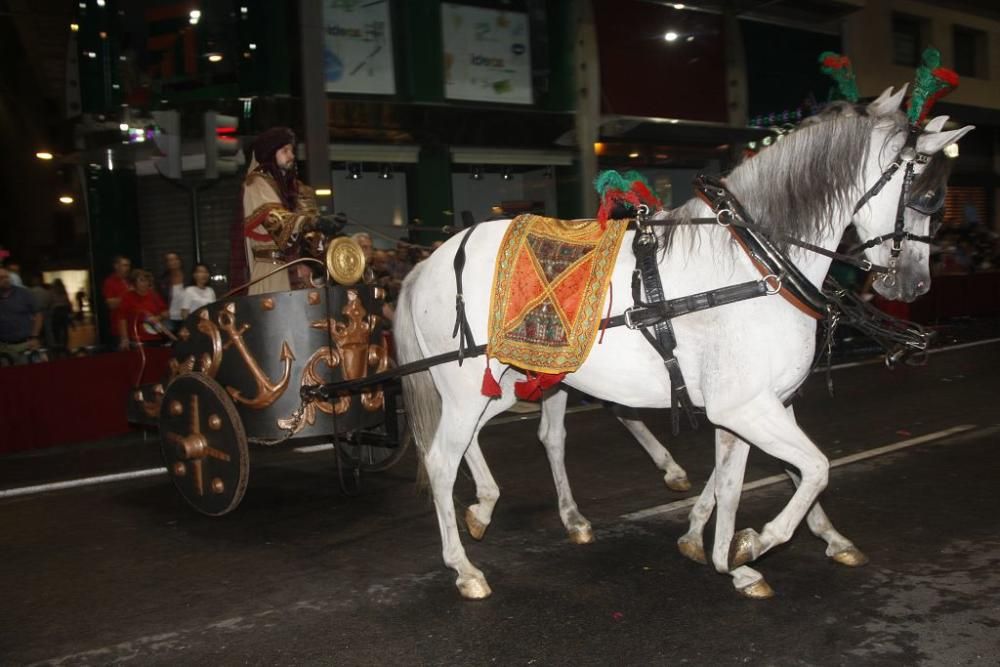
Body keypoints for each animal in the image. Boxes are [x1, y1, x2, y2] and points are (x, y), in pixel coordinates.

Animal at [394, 88, 972, 600]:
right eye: (928, 198)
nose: (915, 286)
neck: (757, 265)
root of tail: (426, 261)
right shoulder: (745, 406)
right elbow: (813, 470)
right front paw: (748, 546)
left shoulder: (761, 406)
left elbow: (750, 478)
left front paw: (727, 550)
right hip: (470, 386)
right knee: (442, 459)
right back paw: (464, 568)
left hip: (512, 383)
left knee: (492, 442)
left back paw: (496, 508)